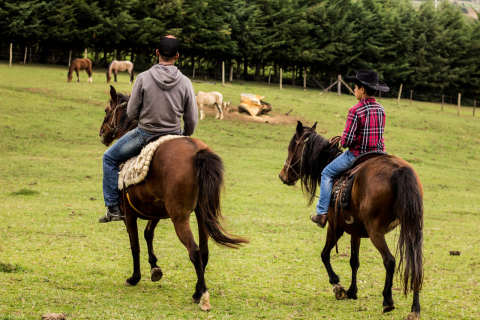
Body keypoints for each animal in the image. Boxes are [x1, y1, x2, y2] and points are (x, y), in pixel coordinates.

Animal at [97, 86, 248, 312]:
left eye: (108, 110)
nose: (102, 134)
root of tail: (196, 151)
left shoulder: (129, 215)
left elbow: (135, 244)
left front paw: (134, 277)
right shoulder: (156, 211)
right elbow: (148, 234)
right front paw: (154, 268)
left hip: (179, 217)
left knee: (194, 250)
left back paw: (202, 296)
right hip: (202, 214)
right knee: (203, 251)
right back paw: (197, 291)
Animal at [278, 121, 424, 318]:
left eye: (291, 148)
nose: (282, 175)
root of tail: (399, 169)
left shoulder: (335, 227)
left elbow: (324, 254)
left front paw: (337, 286)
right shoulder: (355, 230)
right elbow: (354, 261)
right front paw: (352, 291)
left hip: (375, 231)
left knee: (389, 260)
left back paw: (388, 301)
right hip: (411, 227)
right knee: (415, 264)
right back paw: (415, 309)